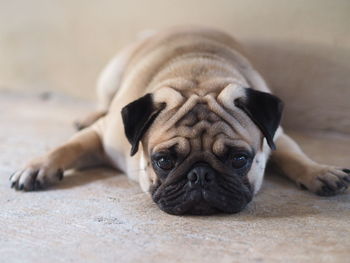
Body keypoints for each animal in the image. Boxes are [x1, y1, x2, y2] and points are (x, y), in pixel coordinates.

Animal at [9, 26, 348, 216]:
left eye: (240, 159)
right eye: (163, 161)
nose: (200, 175)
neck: (198, 79)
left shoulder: (276, 135)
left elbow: (294, 155)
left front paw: (320, 172)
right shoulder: (104, 135)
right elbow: (67, 147)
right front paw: (37, 167)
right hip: (110, 76)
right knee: (102, 104)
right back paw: (87, 114)